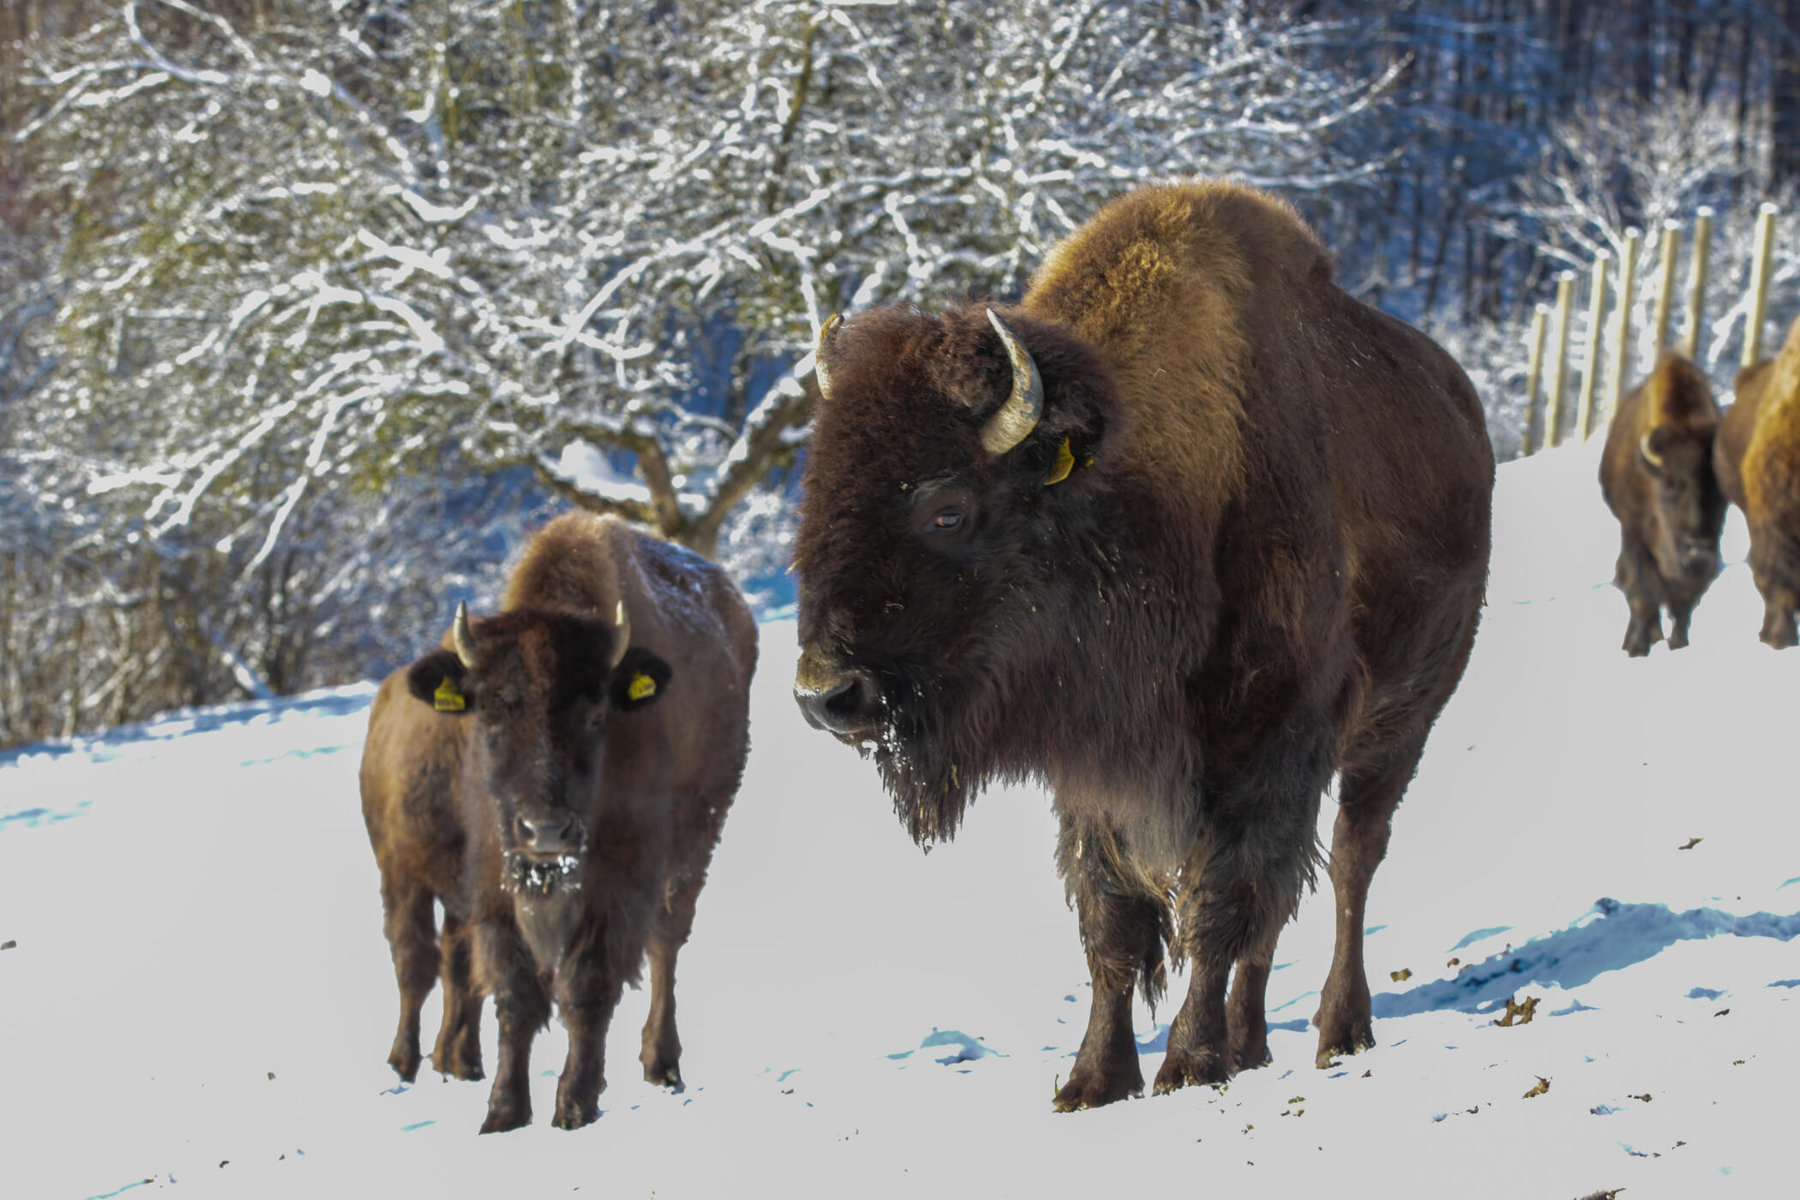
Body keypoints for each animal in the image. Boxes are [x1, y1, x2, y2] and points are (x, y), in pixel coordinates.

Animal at [361, 510, 756, 1129]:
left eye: (596, 714)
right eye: (488, 716)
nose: (545, 831)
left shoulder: (618, 882)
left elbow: (587, 986)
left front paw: (574, 1106)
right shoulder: (491, 883)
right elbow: (513, 991)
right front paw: (502, 1112)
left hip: (693, 847)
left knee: (666, 944)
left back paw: (661, 1064)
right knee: (428, 958)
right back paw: (427, 1062)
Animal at [795, 183, 1497, 1115]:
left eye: (947, 508)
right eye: (818, 491)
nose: (824, 694)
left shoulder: (1264, 737)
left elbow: (1216, 904)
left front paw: (1187, 1065)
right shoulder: (1097, 773)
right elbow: (1115, 922)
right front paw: (1094, 1081)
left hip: (1399, 720)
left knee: (1352, 859)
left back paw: (1338, 1031)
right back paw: (1252, 1042)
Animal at [1605, 352, 1728, 658]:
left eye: (1721, 489)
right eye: (1670, 484)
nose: (1699, 552)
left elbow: (1682, 602)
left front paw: (1679, 645)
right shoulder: (1634, 532)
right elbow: (1643, 593)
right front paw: (1637, 649)